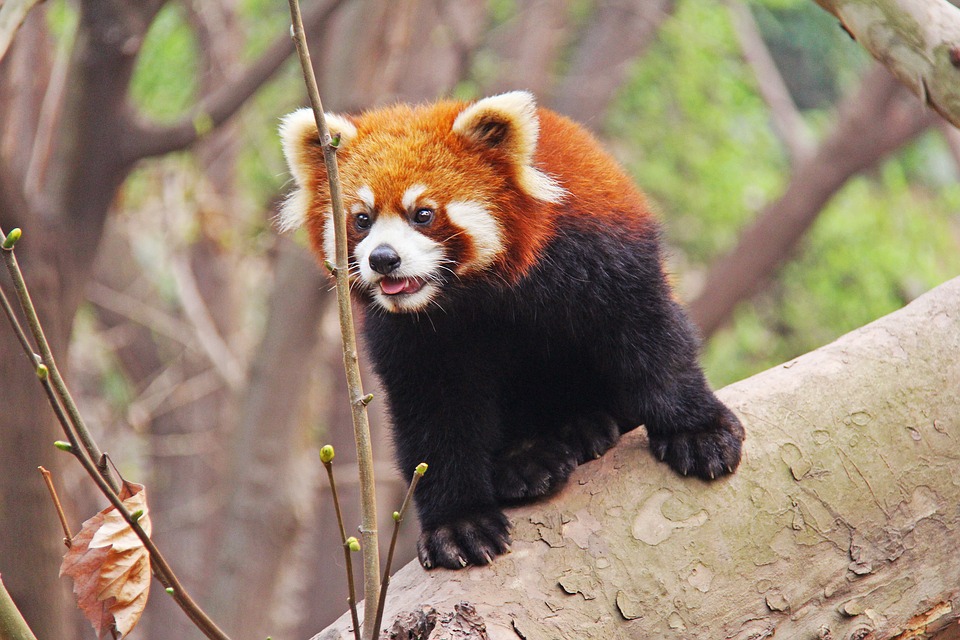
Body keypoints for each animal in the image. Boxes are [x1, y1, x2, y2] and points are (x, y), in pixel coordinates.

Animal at [278, 91, 744, 568]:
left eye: (423, 214)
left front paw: (697, 431)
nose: (383, 259)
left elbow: (650, 336)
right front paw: (459, 523)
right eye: (362, 219)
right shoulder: (413, 337)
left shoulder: (597, 251)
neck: (472, 294)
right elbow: (435, 415)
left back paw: (582, 426)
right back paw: (528, 460)